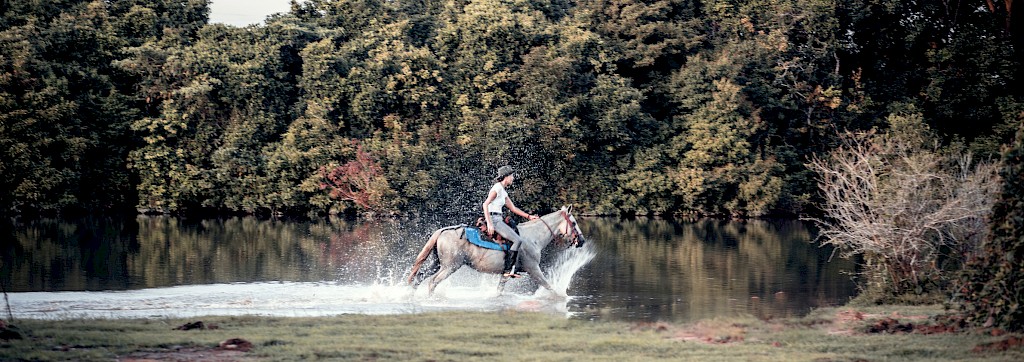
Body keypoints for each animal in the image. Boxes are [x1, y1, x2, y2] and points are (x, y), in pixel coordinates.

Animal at [405, 205, 589, 298]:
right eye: (573, 222)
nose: (581, 240)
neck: (533, 237)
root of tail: (443, 231)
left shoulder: (505, 273)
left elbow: (499, 290)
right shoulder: (534, 269)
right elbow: (549, 287)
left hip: (437, 264)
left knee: (419, 278)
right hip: (450, 267)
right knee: (432, 282)